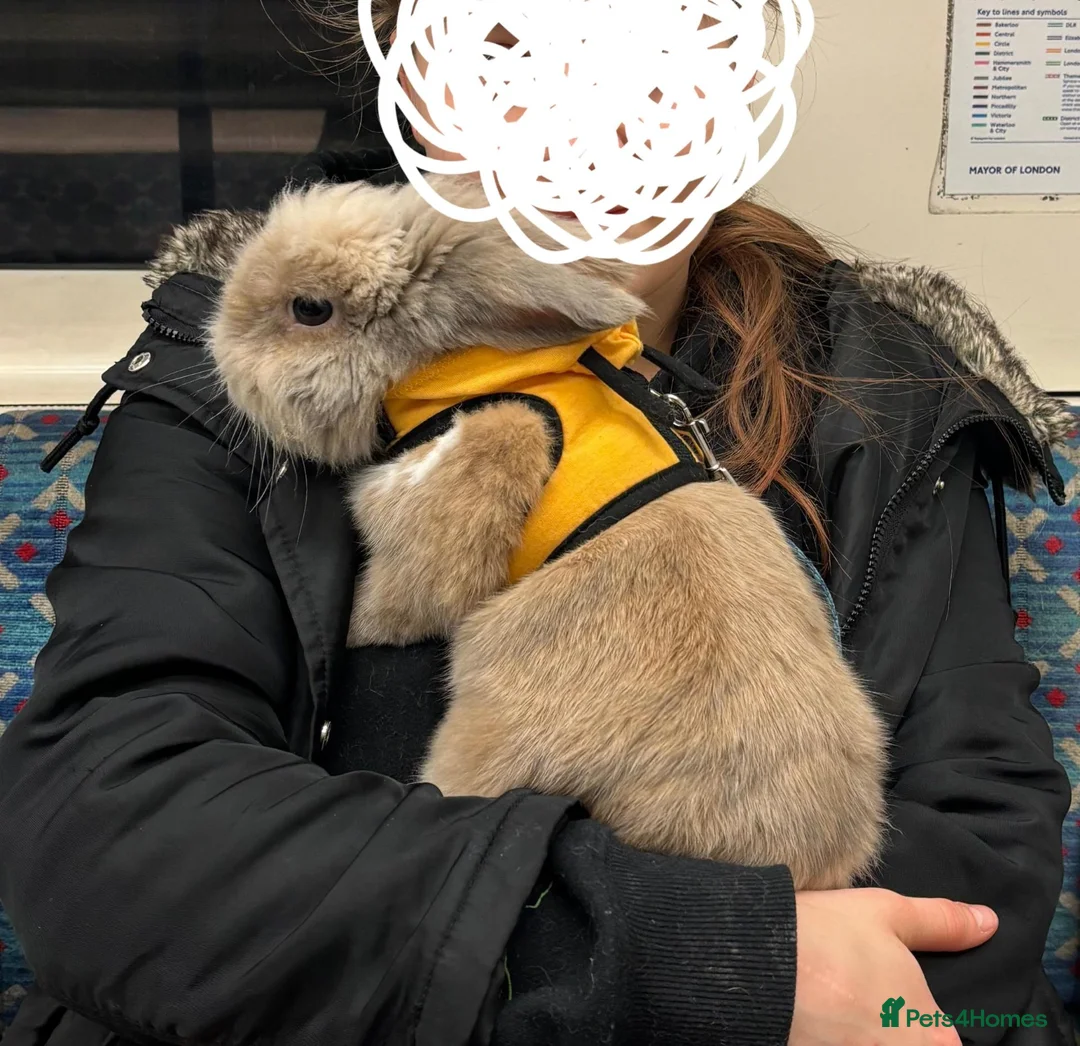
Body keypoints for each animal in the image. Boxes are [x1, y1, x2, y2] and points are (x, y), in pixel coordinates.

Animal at [207, 174, 888, 890]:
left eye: (310, 309)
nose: (216, 347)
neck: (460, 365)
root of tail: (801, 860)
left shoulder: (480, 463)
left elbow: (405, 600)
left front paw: (356, 627)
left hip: (490, 731)